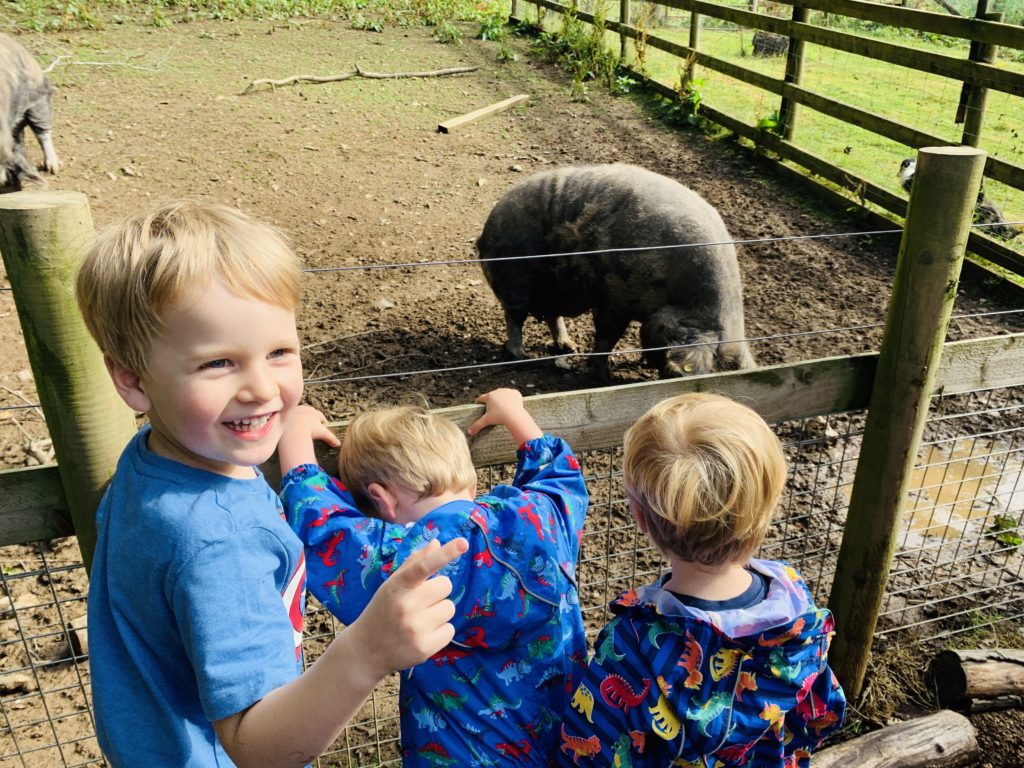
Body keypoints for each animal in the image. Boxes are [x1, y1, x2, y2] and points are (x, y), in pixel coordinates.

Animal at [475, 163, 757, 380]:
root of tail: (487, 227)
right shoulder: (617, 297)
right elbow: (607, 336)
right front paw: (604, 377)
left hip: (554, 288)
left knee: (553, 316)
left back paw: (569, 348)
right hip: (514, 276)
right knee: (515, 317)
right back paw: (520, 356)